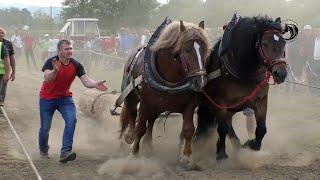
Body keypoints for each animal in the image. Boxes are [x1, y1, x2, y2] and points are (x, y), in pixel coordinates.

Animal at [119, 20, 210, 169]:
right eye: (187, 50)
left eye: (205, 50)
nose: (200, 81)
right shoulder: (145, 103)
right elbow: (140, 128)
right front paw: (133, 155)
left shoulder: (190, 105)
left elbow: (188, 129)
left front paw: (187, 157)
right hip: (131, 96)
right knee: (132, 114)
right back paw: (129, 136)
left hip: (156, 107)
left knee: (151, 121)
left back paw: (148, 146)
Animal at [194, 14, 296, 160]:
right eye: (265, 43)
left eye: (283, 43)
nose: (280, 73)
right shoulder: (220, 103)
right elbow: (222, 128)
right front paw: (222, 154)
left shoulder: (261, 100)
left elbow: (261, 128)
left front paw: (253, 145)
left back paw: (238, 145)